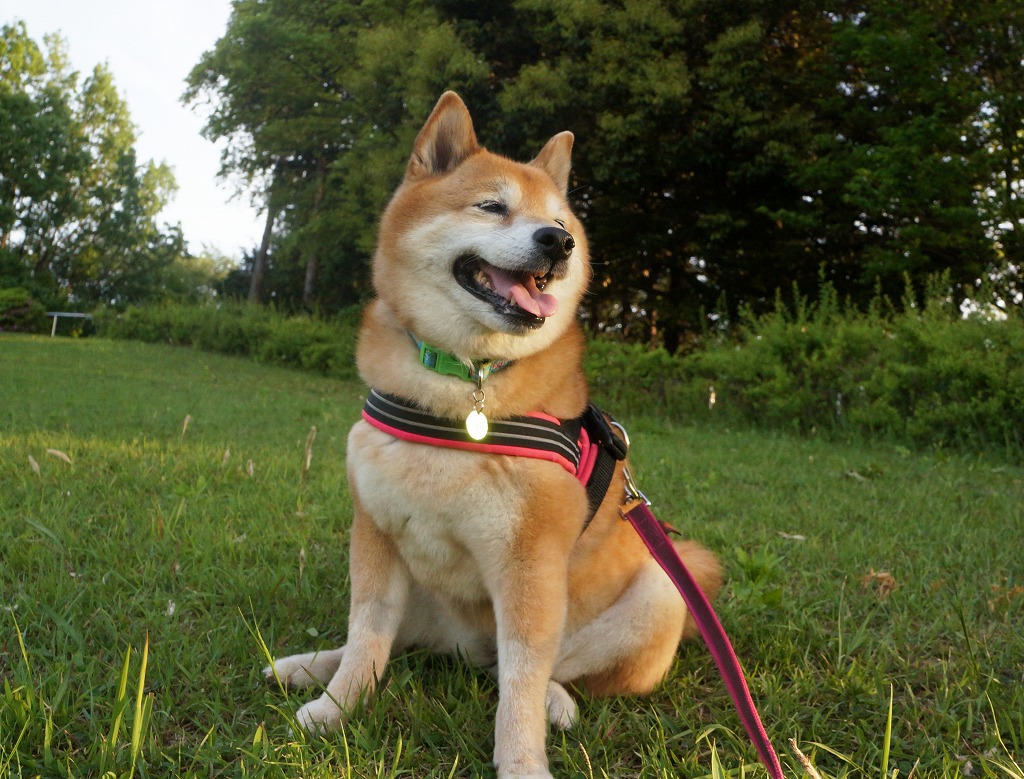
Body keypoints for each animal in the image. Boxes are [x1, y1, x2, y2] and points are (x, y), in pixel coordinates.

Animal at [266, 92, 723, 778]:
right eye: (491, 206)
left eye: (558, 219)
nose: (559, 241)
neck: (463, 387)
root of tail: (468, 651)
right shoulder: (374, 534)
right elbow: (367, 635)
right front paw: (335, 708)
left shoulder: (529, 565)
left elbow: (523, 679)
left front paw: (523, 761)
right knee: (395, 643)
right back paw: (304, 667)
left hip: (662, 591)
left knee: (548, 672)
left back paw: (558, 703)